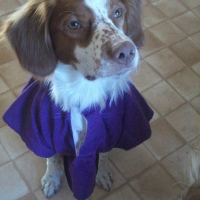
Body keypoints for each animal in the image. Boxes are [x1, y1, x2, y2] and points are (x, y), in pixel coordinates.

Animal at [0, 0, 153, 199]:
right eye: (73, 24)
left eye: (118, 12)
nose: (126, 51)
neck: (84, 90)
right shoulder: (43, 134)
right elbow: (52, 158)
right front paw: (52, 179)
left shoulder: (112, 130)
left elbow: (104, 154)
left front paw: (101, 174)